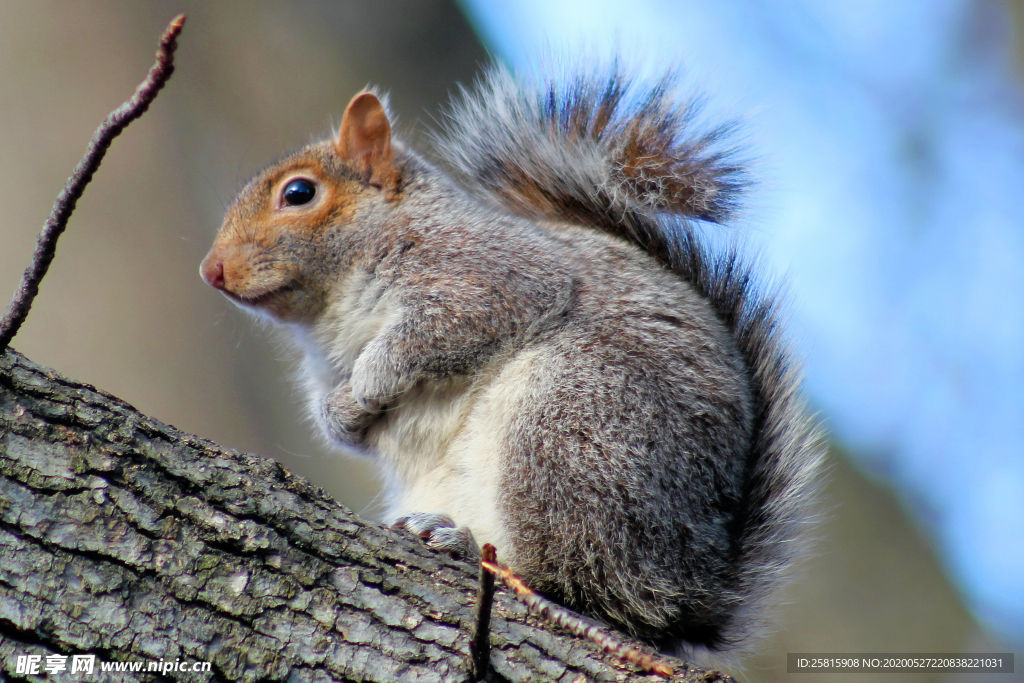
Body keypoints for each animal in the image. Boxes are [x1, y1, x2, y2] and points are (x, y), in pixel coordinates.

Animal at [197, 61, 823, 659]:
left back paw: (468, 545)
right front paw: (343, 414)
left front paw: (370, 384)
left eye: (299, 194)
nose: (212, 271)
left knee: (574, 580)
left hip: (570, 427)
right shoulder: (325, 364)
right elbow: (343, 425)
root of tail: (691, 590)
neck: (329, 314)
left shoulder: (487, 275)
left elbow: (432, 334)